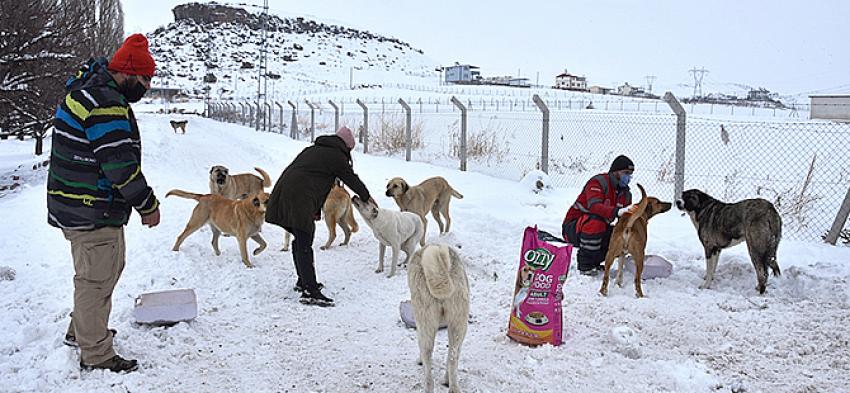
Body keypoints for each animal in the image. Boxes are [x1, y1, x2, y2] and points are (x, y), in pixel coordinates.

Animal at [406, 243, 468, 392]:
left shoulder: (419, 325)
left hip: (426, 322)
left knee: (427, 357)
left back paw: (429, 386)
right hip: (458, 323)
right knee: (453, 356)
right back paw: (451, 385)